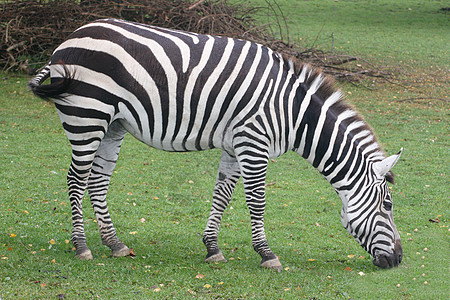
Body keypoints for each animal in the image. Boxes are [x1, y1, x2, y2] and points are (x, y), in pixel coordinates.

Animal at [28, 19, 402, 272]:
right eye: (388, 205)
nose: (398, 259)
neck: (292, 112)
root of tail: (68, 39)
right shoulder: (253, 143)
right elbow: (256, 201)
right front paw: (267, 254)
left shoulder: (236, 145)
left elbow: (221, 195)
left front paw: (212, 248)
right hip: (87, 115)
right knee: (76, 180)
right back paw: (81, 246)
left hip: (112, 124)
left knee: (97, 181)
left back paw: (115, 243)